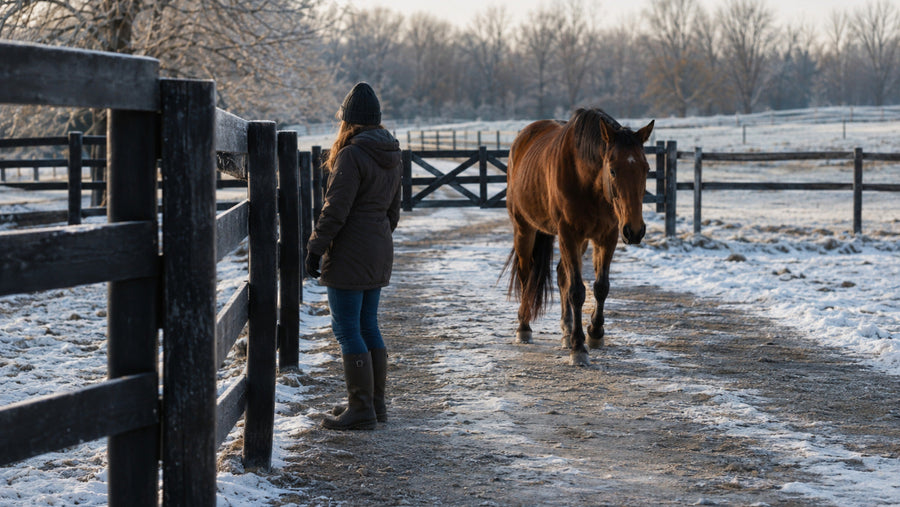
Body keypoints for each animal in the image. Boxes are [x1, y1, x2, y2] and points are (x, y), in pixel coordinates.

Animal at [504, 108, 654, 366]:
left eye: (646, 169)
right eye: (613, 170)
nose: (634, 231)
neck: (587, 180)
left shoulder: (607, 236)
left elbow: (601, 287)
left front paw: (595, 333)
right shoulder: (568, 234)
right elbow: (577, 291)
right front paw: (579, 348)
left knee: (561, 274)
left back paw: (566, 330)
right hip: (524, 229)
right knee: (526, 275)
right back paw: (524, 327)